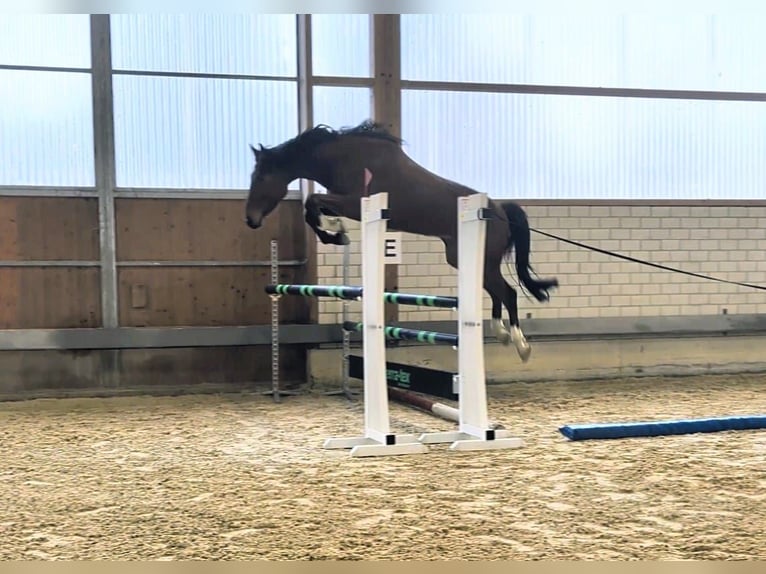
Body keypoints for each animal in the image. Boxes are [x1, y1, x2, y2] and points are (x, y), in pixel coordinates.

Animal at [244, 120, 558, 362]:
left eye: (260, 177)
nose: (250, 220)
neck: (344, 157)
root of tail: (500, 211)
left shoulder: (355, 202)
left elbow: (312, 203)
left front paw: (334, 231)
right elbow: (313, 209)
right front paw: (336, 231)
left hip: (480, 260)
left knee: (508, 293)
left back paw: (520, 344)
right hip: (464, 258)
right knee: (497, 293)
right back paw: (501, 333)